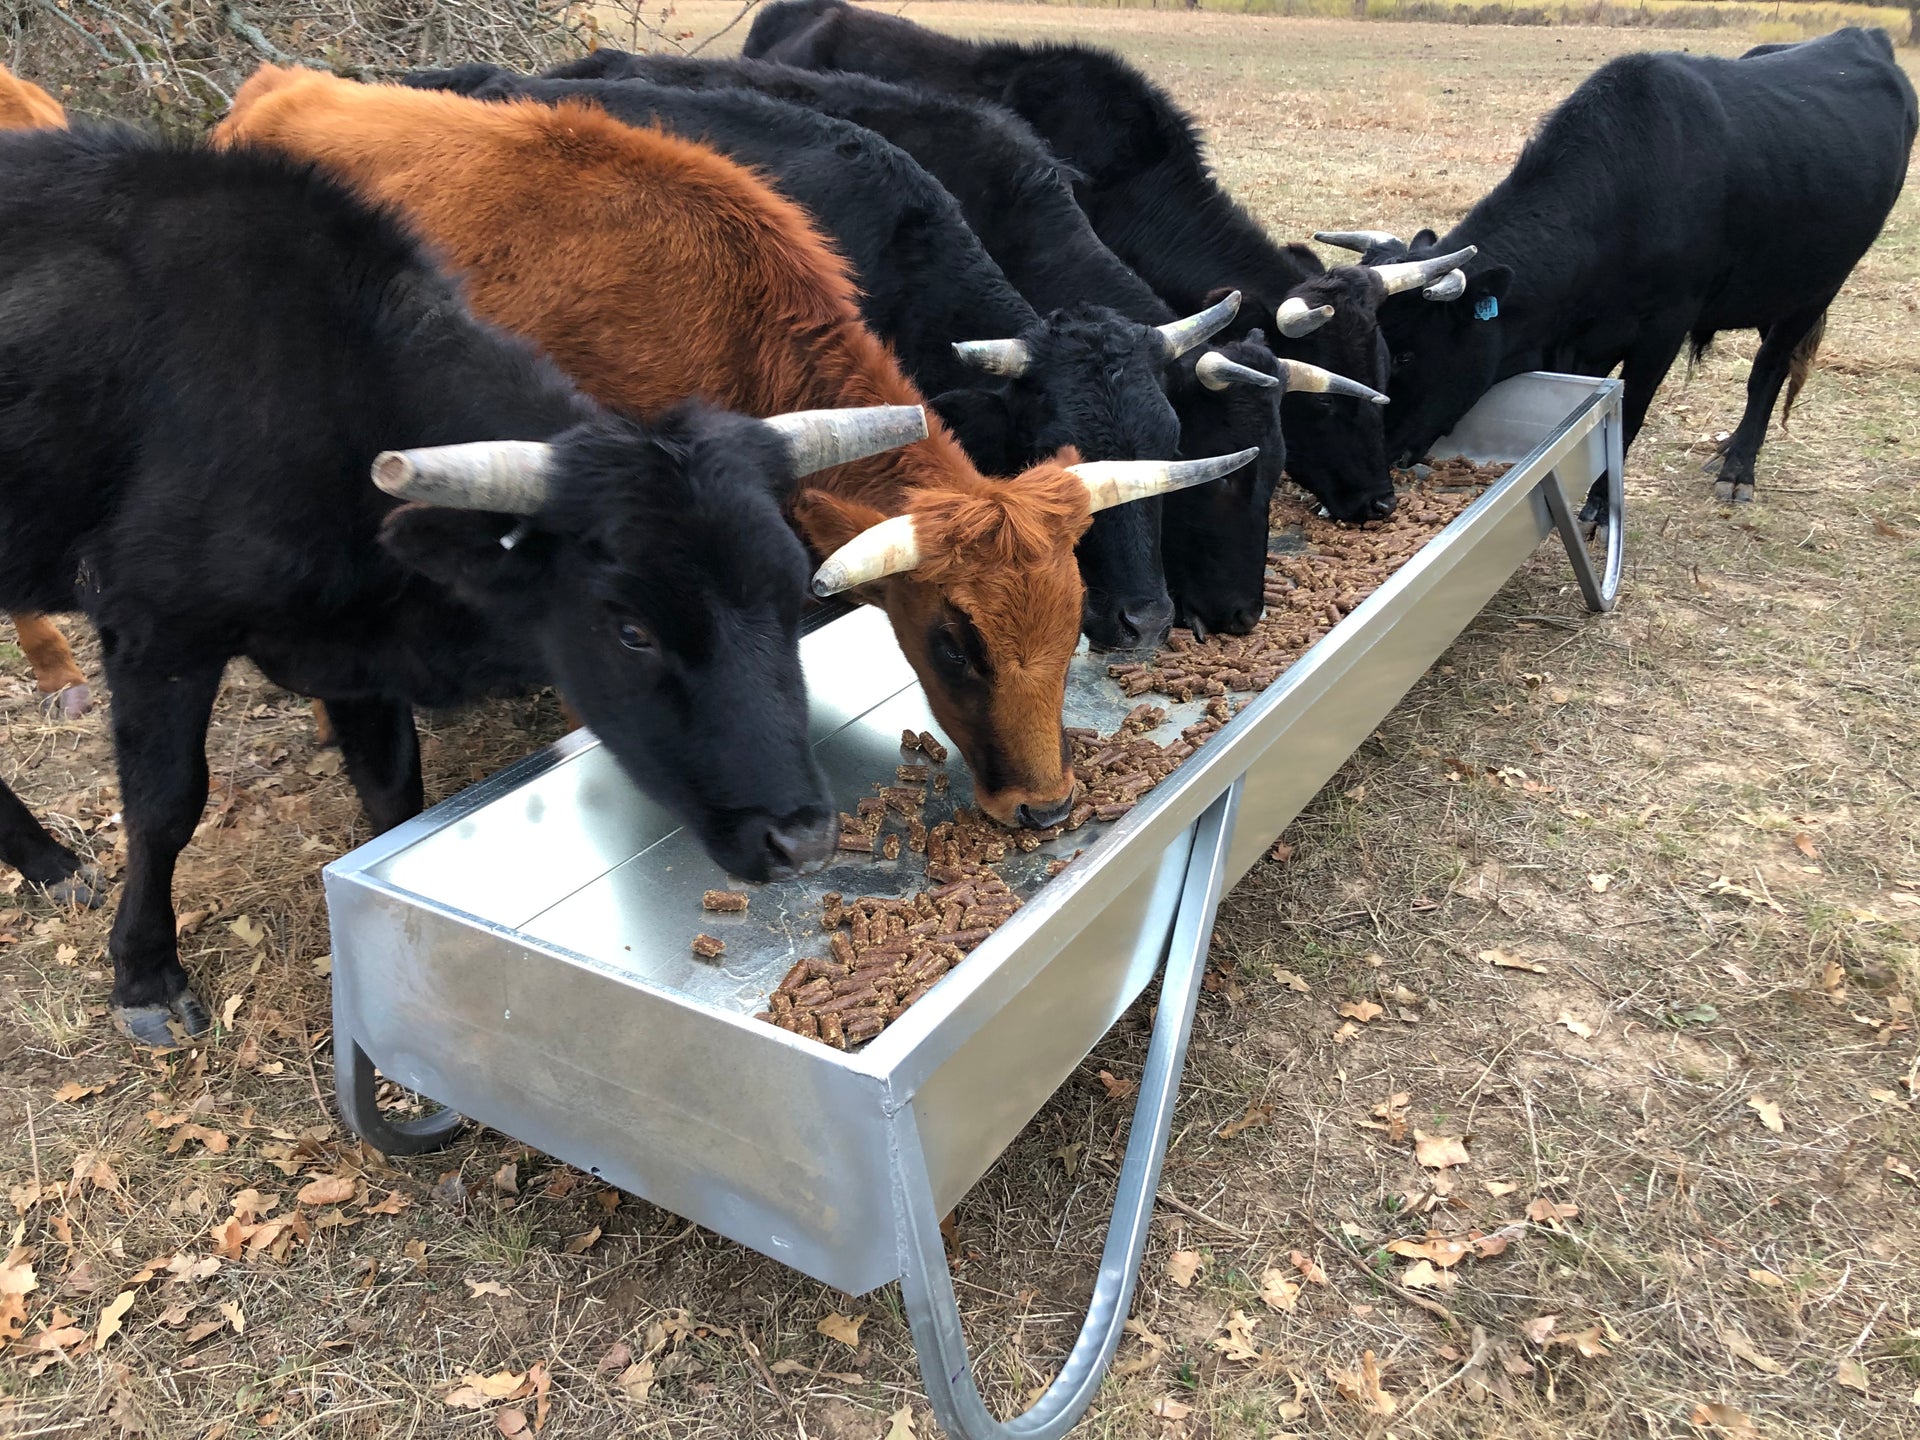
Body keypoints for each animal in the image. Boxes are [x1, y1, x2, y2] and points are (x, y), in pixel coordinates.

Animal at [0, 124, 938, 1041]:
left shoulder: (355, 661)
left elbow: (393, 793)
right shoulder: (156, 629)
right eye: (631, 629)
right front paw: (145, 975)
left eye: (797, 594)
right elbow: (166, 806)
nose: (802, 840)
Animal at [1317, 27, 1917, 512]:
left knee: (1767, 371)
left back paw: (1738, 468)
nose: (1371, 465)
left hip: (1814, 290)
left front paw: (1604, 503)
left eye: (1407, 354)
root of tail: (1859, 37)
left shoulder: (1664, 326)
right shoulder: (1583, 341)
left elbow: (1631, 412)